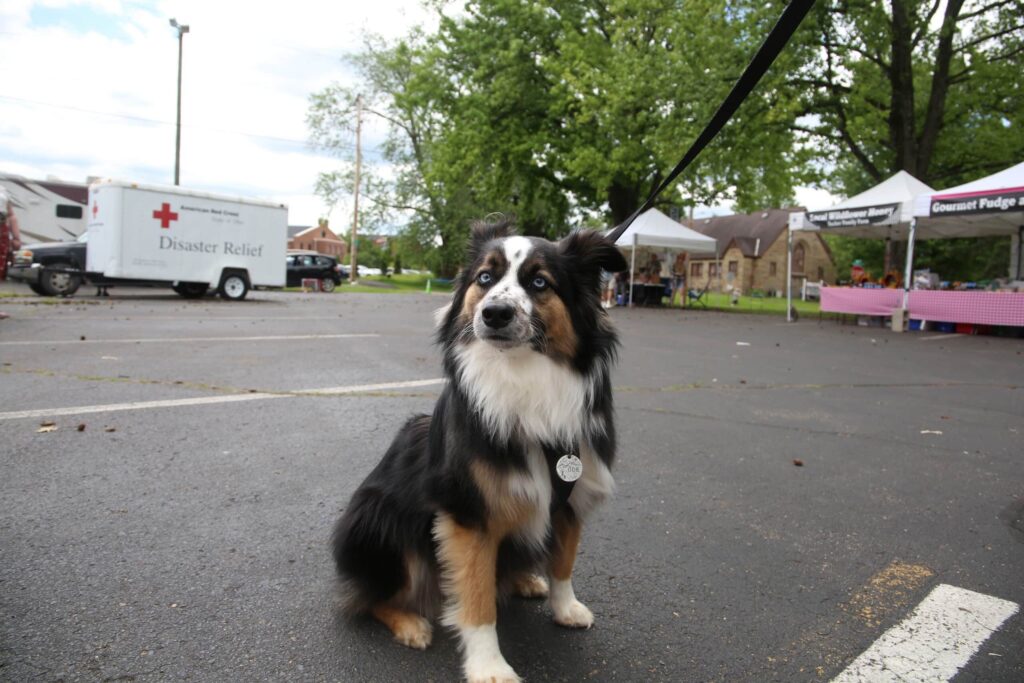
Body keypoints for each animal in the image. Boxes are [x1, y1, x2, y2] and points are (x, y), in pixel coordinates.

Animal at [331, 218, 627, 682]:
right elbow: (476, 597)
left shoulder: (572, 495)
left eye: (540, 282)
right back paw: (411, 623)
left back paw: (526, 580)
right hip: (376, 519)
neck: (524, 374)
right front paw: (490, 666)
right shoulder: (469, 514)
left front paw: (566, 608)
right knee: (368, 598)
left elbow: (563, 562)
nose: (494, 313)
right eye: (485, 278)